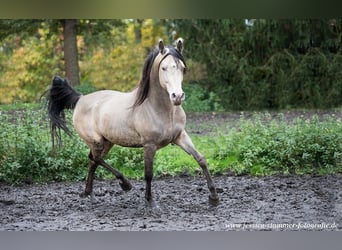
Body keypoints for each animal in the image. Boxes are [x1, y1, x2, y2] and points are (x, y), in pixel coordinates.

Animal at [46, 39, 219, 206]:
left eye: (182, 68)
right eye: (163, 68)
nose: (177, 97)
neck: (160, 109)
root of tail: (80, 99)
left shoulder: (180, 136)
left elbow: (201, 159)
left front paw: (214, 197)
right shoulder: (149, 145)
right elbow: (148, 173)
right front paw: (150, 201)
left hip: (107, 142)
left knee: (93, 161)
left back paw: (88, 192)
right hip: (96, 141)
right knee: (95, 159)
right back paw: (125, 184)